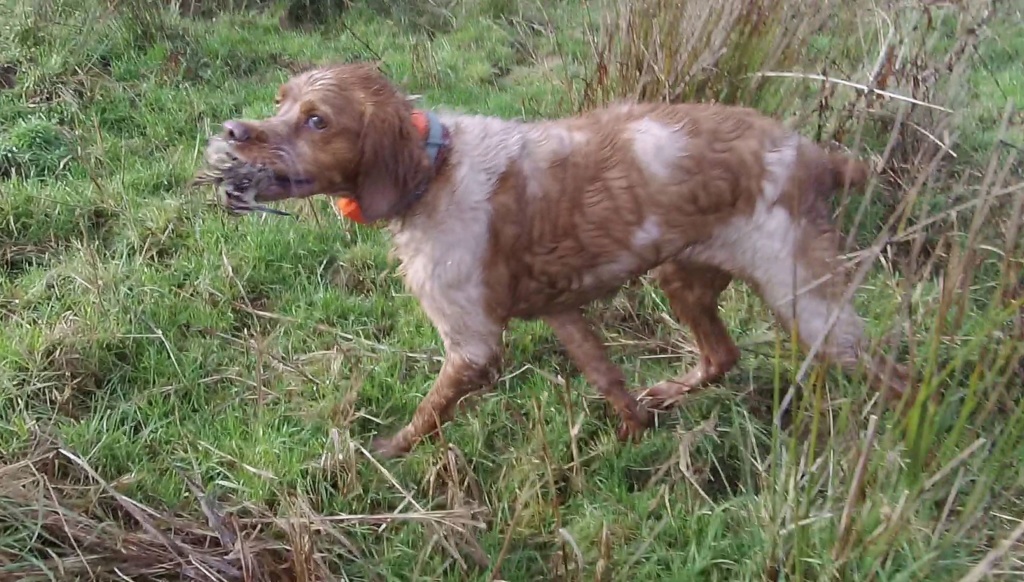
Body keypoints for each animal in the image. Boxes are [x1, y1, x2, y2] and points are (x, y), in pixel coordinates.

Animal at [220, 61, 909, 456]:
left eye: (317, 120)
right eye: (279, 102)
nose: (231, 132)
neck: (434, 170)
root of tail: (814, 154)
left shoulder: (472, 345)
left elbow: (427, 414)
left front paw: (384, 451)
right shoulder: (562, 310)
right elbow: (609, 382)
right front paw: (631, 439)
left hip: (809, 304)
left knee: (894, 376)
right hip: (682, 276)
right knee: (722, 355)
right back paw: (671, 392)